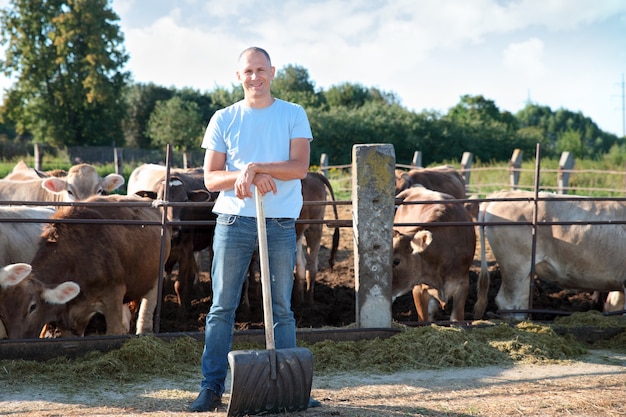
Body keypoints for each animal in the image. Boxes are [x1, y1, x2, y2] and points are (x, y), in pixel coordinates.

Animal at [0, 194, 171, 338]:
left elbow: (114, 331)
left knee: (145, 317)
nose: (16, 340)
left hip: (155, 279)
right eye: (3, 313)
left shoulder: (113, 296)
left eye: (32, 307)